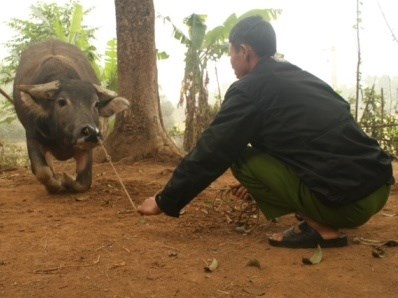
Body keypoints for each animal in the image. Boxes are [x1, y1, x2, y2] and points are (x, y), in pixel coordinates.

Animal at [13, 39, 129, 193]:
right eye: (62, 102)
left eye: (96, 103)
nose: (91, 132)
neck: (62, 138)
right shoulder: (32, 137)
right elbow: (43, 172)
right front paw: (56, 183)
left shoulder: (87, 147)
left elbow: (84, 182)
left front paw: (67, 178)